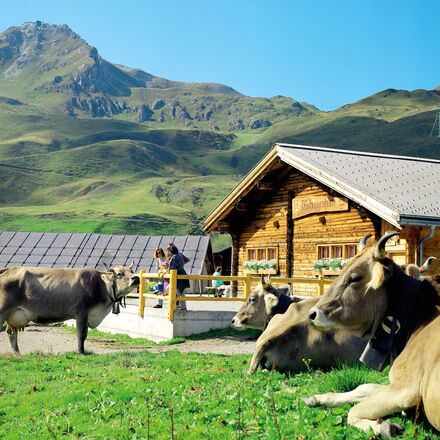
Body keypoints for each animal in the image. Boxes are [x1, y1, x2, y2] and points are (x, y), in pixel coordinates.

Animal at [306, 234, 440, 436]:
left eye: (354, 278)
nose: (312, 314)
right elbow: (366, 386)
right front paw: (317, 398)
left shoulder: (405, 390)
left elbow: (353, 412)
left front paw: (384, 427)